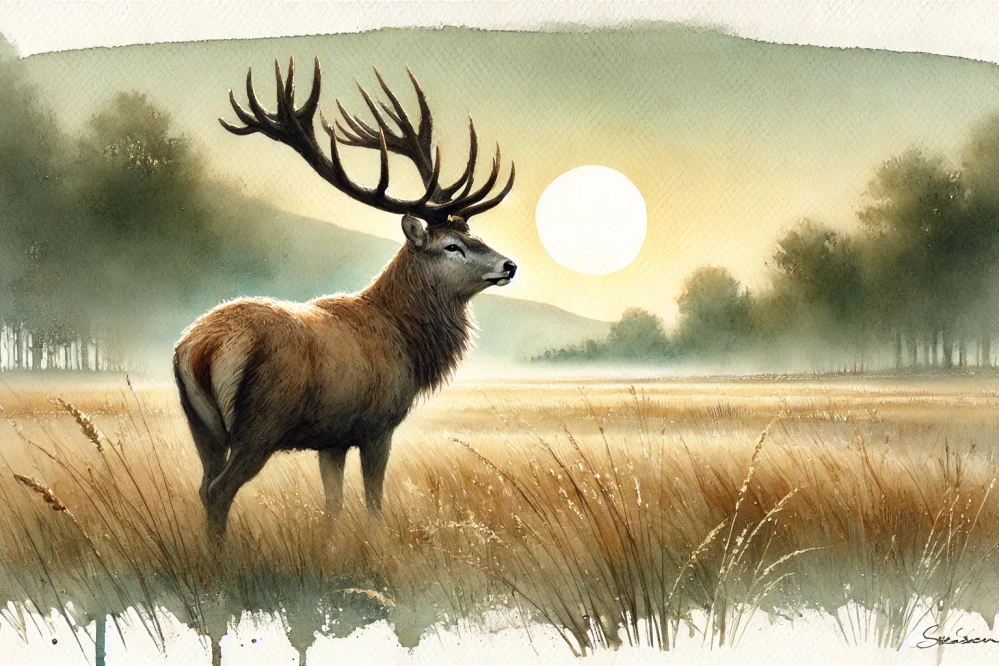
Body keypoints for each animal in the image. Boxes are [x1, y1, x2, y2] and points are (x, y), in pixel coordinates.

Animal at [173, 57, 516, 538]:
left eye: (475, 235)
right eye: (453, 246)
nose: (509, 266)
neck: (408, 344)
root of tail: (200, 347)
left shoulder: (331, 437)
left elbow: (332, 503)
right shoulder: (378, 425)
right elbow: (373, 502)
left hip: (200, 425)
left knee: (203, 486)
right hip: (260, 422)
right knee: (220, 490)